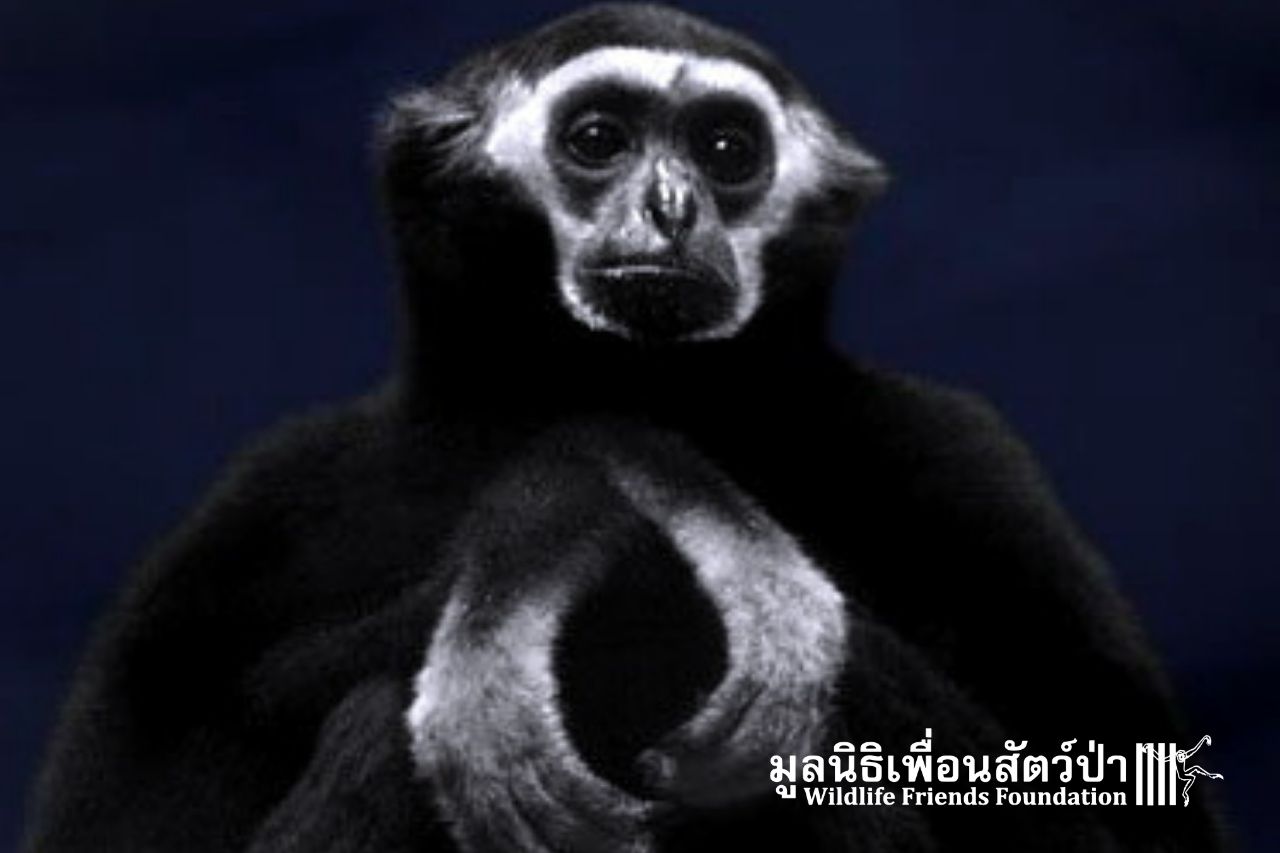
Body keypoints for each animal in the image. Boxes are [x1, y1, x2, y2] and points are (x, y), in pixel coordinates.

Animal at [23, 5, 1226, 852]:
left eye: (728, 150)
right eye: (599, 138)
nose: (671, 207)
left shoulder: (963, 457)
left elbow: (1121, 822)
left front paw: (664, 513)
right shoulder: (271, 492)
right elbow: (128, 828)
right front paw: (555, 507)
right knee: (375, 727)